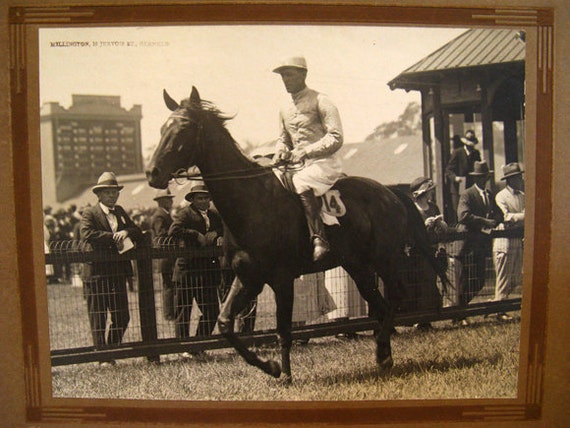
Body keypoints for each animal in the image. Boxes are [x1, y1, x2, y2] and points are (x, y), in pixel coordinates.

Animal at [145, 87, 444, 382]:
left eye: (184, 127)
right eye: (161, 128)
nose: (152, 172)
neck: (252, 201)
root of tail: (390, 192)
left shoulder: (281, 279)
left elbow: (283, 330)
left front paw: (285, 374)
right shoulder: (248, 278)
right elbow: (225, 324)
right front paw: (270, 366)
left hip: (385, 259)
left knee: (396, 298)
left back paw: (383, 353)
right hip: (357, 267)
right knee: (381, 305)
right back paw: (383, 355)